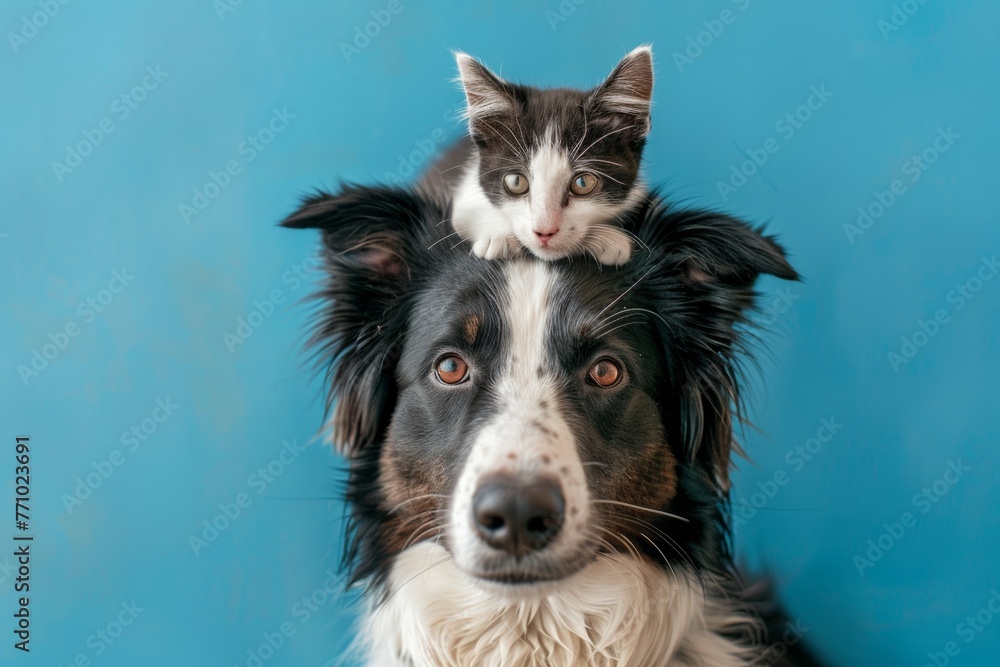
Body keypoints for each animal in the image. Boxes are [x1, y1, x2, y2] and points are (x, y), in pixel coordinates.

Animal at [448, 47, 656, 264]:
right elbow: (463, 213)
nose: (544, 232)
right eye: (516, 182)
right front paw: (498, 236)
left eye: (583, 183)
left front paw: (610, 238)